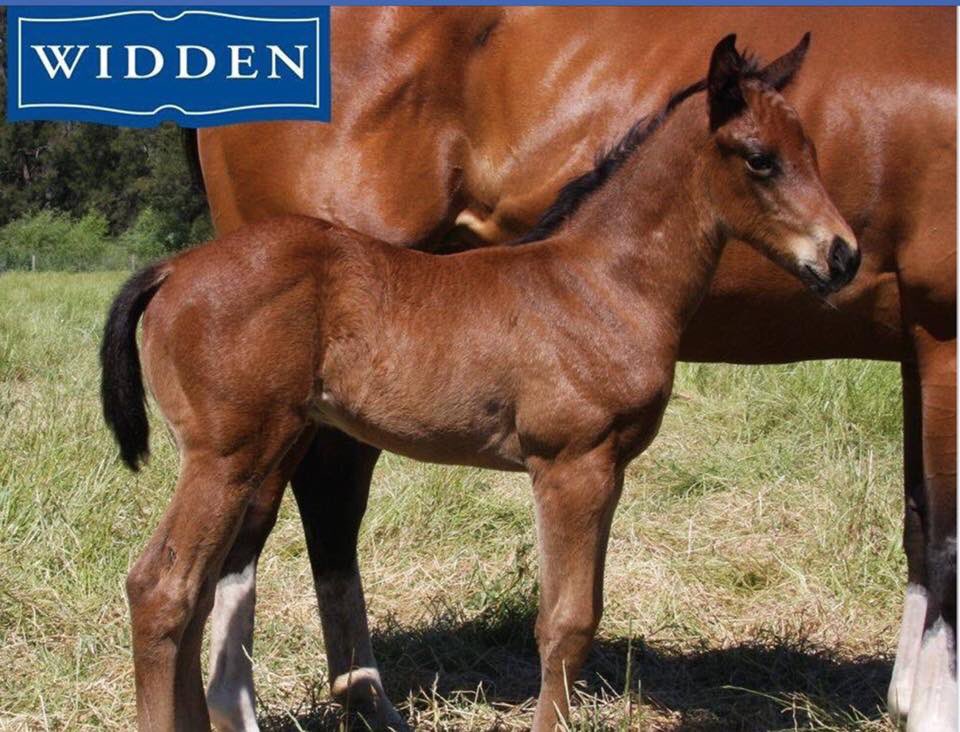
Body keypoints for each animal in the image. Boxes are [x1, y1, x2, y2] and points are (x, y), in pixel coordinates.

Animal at [193, 8, 957, 730]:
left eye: (813, 150)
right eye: (760, 158)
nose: (842, 256)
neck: (598, 281)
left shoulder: (608, 465)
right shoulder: (569, 465)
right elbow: (563, 622)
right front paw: (932, 707)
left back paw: (364, 704)